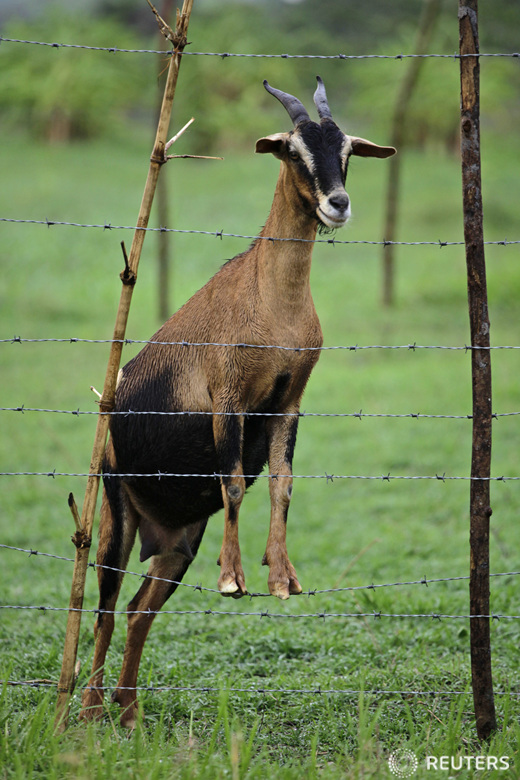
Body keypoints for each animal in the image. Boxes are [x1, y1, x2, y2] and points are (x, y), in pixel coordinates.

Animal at [79, 76, 394, 728]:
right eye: (293, 150)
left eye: (347, 147)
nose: (338, 203)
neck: (271, 301)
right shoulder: (228, 398)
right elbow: (231, 484)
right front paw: (233, 580)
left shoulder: (288, 403)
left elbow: (281, 484)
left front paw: (282, 578)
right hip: (116, 513)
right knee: (106, 602)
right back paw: (90, 710)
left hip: (176, 542)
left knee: (140, 608)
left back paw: (129, 711)